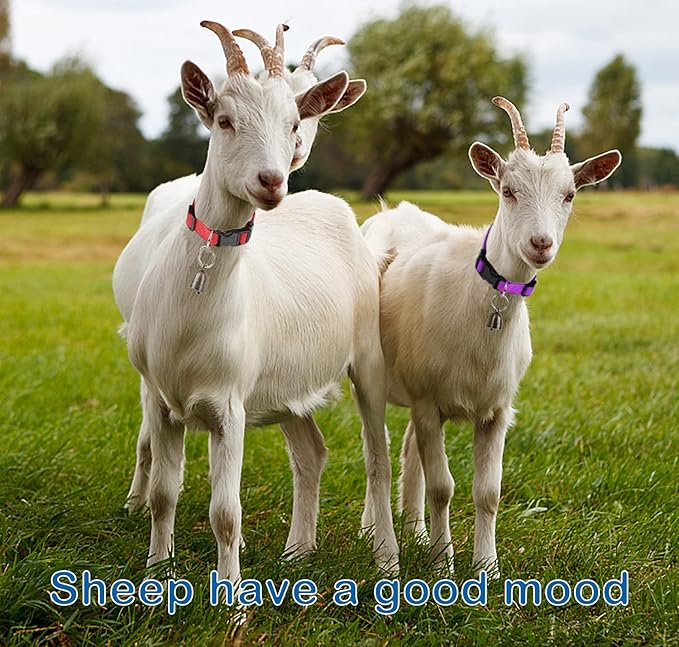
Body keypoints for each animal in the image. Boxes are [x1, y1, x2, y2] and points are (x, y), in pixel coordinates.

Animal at [113, 21, 397, 583]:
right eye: (224, 120)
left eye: (295, 120)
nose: (272, 180)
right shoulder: (162, 397)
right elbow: (163, 493)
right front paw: (157, 570)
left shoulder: (230, 404)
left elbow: (226, 512)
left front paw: (229, 593)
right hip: (287, 382)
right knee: (311, 451)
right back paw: (299, 550)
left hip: (368, 359)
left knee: (377, 455)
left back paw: (387, 560)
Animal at [361, 96, 621, 575]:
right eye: (508, 190)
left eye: (570, 195)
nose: (540, 243)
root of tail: (391, 211)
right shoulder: (429, 401)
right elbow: (443, 487)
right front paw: (442, 567)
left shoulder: (497, 408)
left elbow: (489, 492)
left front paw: (487, 568)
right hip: (376, 379)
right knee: (379, 453)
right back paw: (376, 536)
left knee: (407, 451)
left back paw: (414, 530)